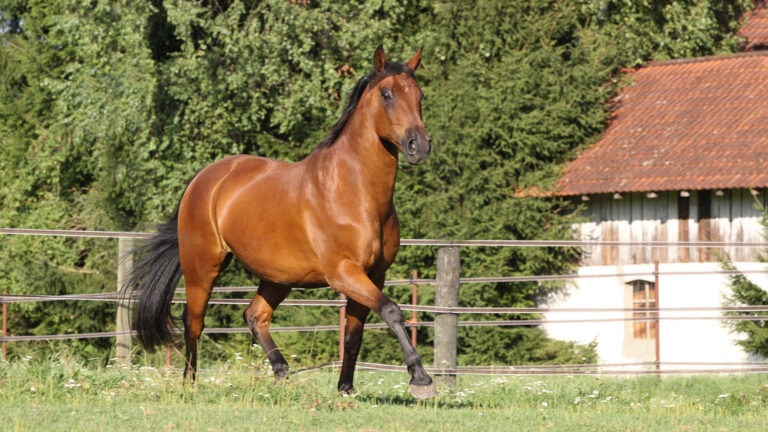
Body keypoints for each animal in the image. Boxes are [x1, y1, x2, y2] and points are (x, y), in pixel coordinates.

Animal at [126, 46, 437, 400]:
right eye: (387, 94)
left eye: (419, 95)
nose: (419, 145)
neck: (354, 192)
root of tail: (203, 179)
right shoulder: (344, 273)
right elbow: (392, 311)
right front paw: (421, 379)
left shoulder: (374, 275)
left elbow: (353, 335)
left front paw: (345, 389)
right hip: (202, 266)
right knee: (194, 323)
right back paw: (190, 384)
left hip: (278, 277)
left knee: (255, 316)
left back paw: (282, 373)